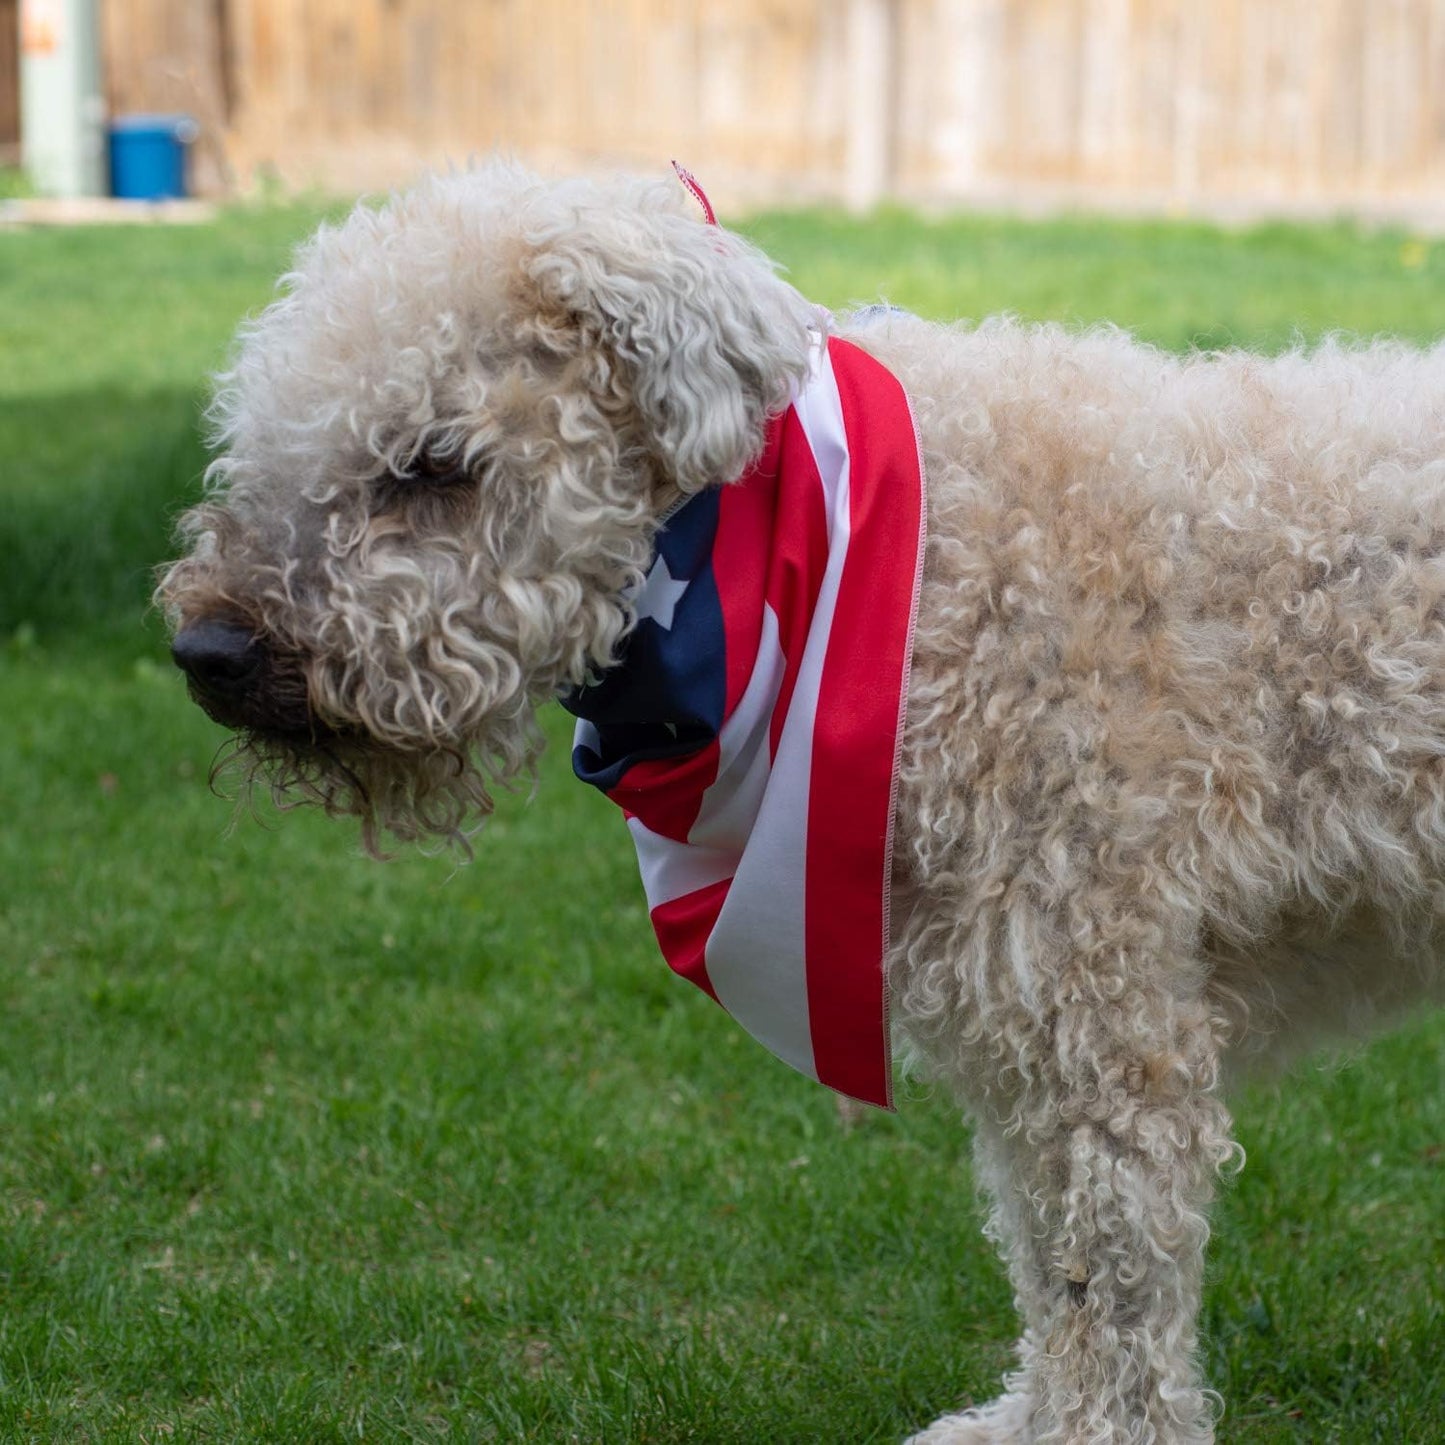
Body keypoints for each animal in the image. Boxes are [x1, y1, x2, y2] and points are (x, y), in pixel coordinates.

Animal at [158, 164, 1445, 1439]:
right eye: (261, 437)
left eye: (432, 464)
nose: (208, 651)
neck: (904, 575)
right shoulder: (1016, 1022)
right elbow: (1044, 1260)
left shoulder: (1098, 1026)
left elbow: (1105, 1286)